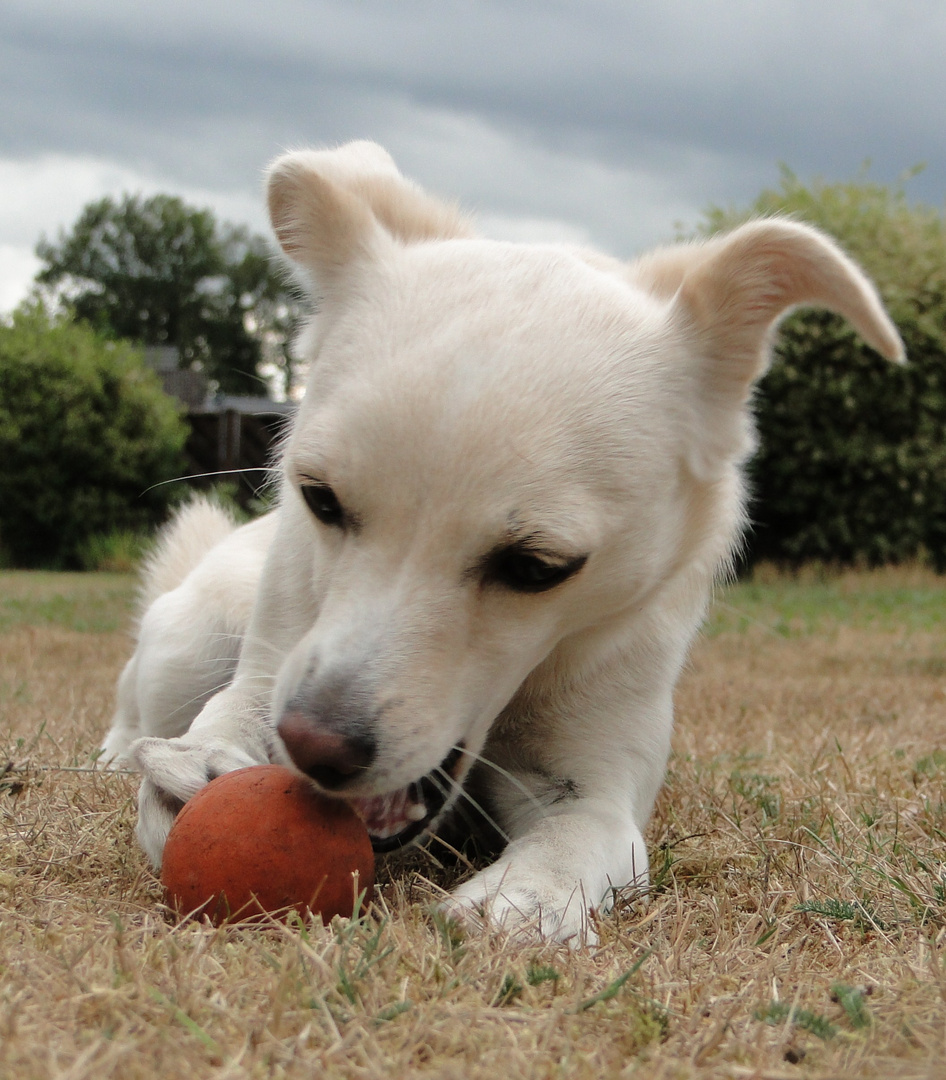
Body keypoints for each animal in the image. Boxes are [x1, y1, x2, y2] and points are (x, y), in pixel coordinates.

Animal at [103, 139, 902, 941]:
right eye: (320, 499)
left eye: (538, 567)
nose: (312, 747)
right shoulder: (278, 668)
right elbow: (230, 713)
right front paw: (195, 767)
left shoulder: (597, 785)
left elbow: (575, 838)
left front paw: (523, 898)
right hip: (192, 636)